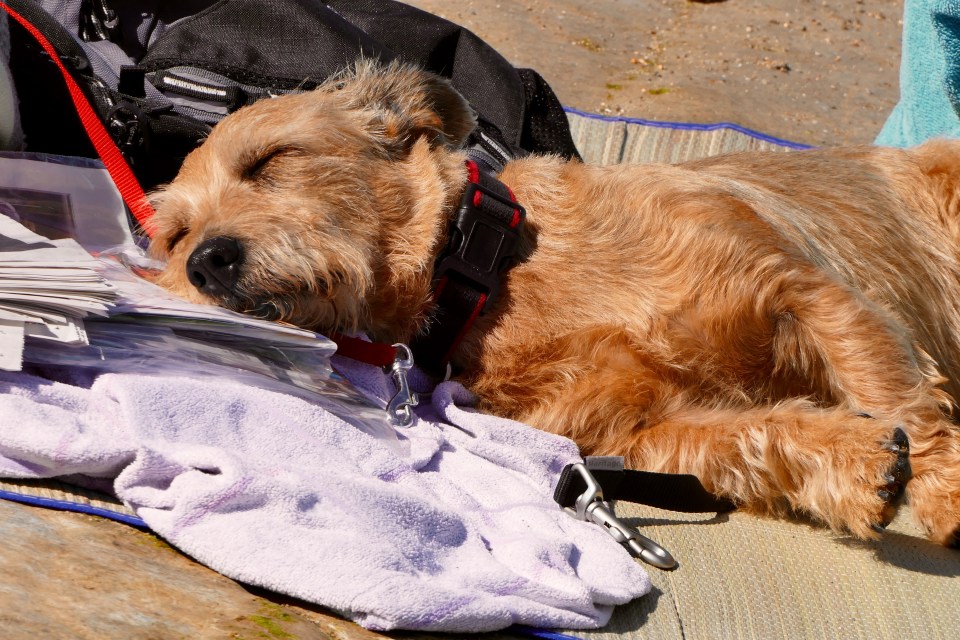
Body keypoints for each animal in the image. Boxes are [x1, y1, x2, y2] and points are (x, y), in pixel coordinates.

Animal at [150, 61, 960, 544]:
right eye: (174, 237)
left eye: (272, 159)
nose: (206, 261)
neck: (496, 280)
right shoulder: (655, 431)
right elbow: (757, 437)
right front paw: (859, 467)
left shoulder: (806, 289)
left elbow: (897, 393)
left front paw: (944, 492)